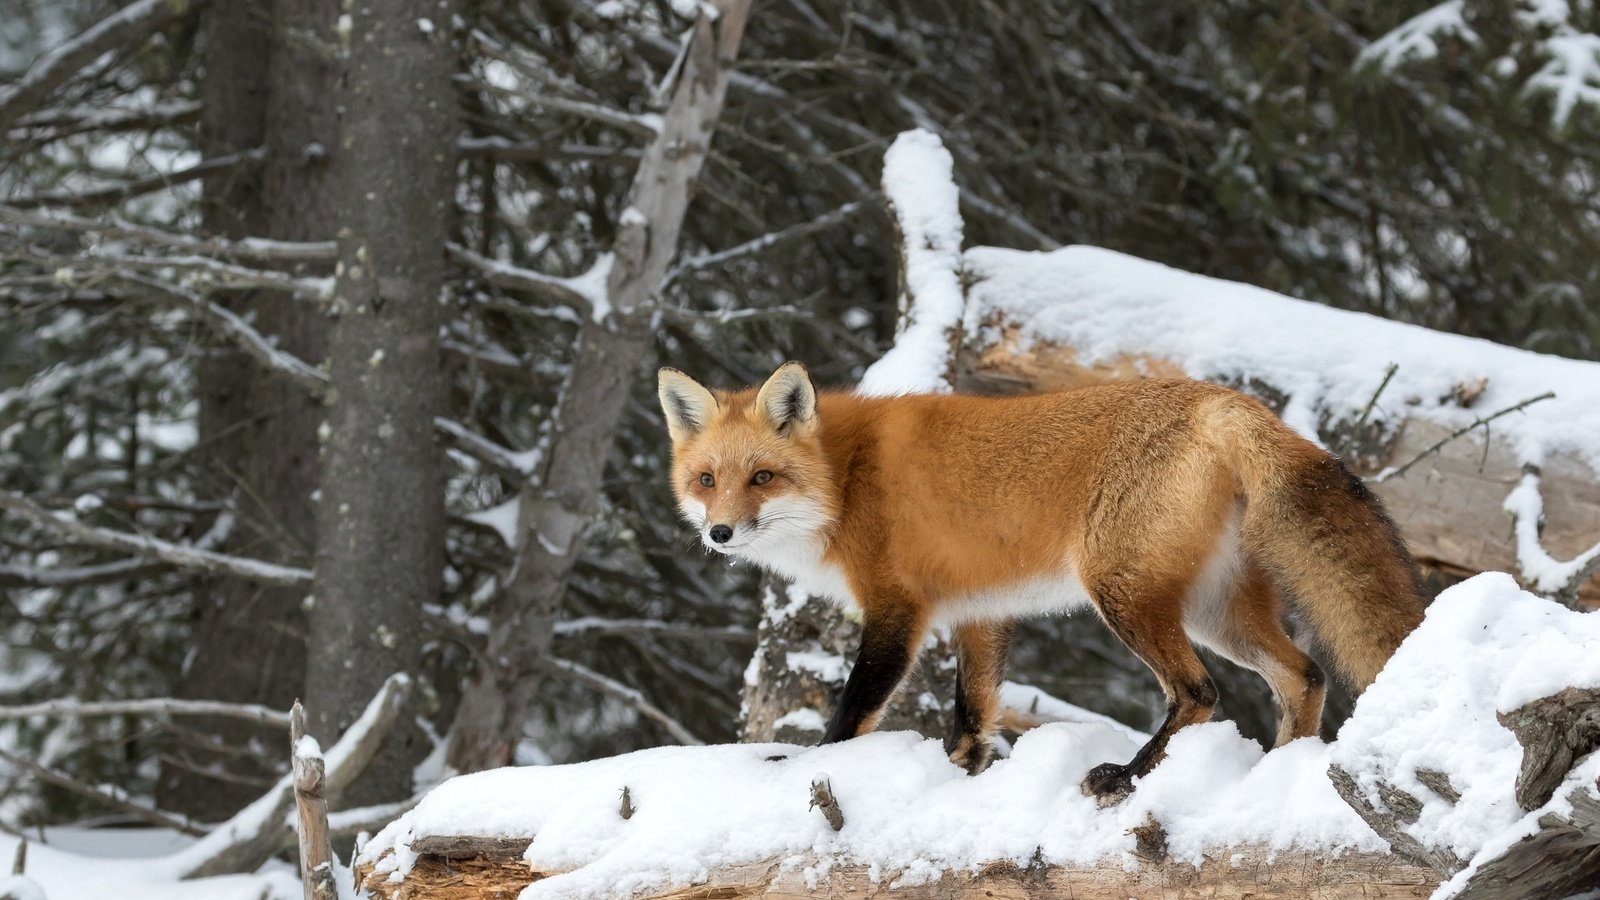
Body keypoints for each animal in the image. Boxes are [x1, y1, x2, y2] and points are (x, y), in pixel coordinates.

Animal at [656, 360, 1433, 794]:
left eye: (762, 477)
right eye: (706, 481)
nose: (719, 533)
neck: (848, 479)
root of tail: (1223, 400)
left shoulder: (898, 609)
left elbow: (851, 712)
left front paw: (807, 768)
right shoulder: (977, 612)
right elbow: (973, 717)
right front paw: (960, 780)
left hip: (1123, 593)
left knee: (1200, 692)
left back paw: (1129, 775)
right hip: (1218, 611)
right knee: (1304, 675)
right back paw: (1279, 770)